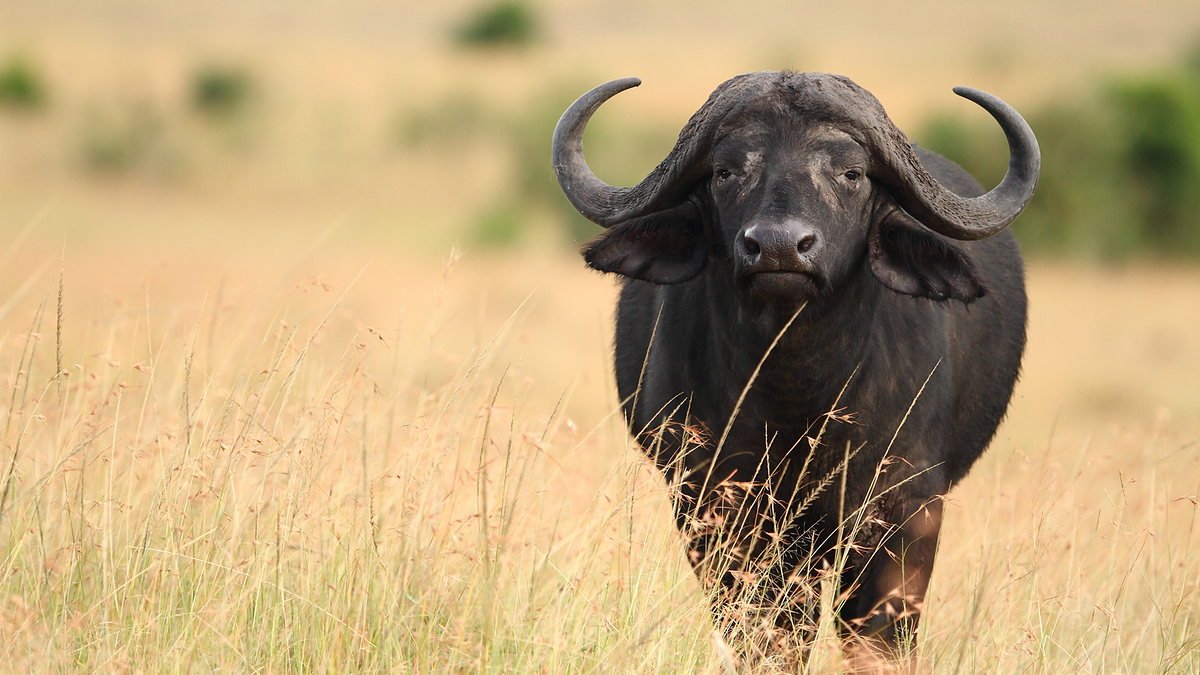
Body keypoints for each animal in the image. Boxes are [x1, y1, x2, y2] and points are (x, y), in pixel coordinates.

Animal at [551, 72, 1039, 665]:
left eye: (851, 173)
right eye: (726, 171)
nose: (779, 247)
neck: (797, 396)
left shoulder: (905, 511)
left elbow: (876, 638)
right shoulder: (714, 508)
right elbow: (767, 635)